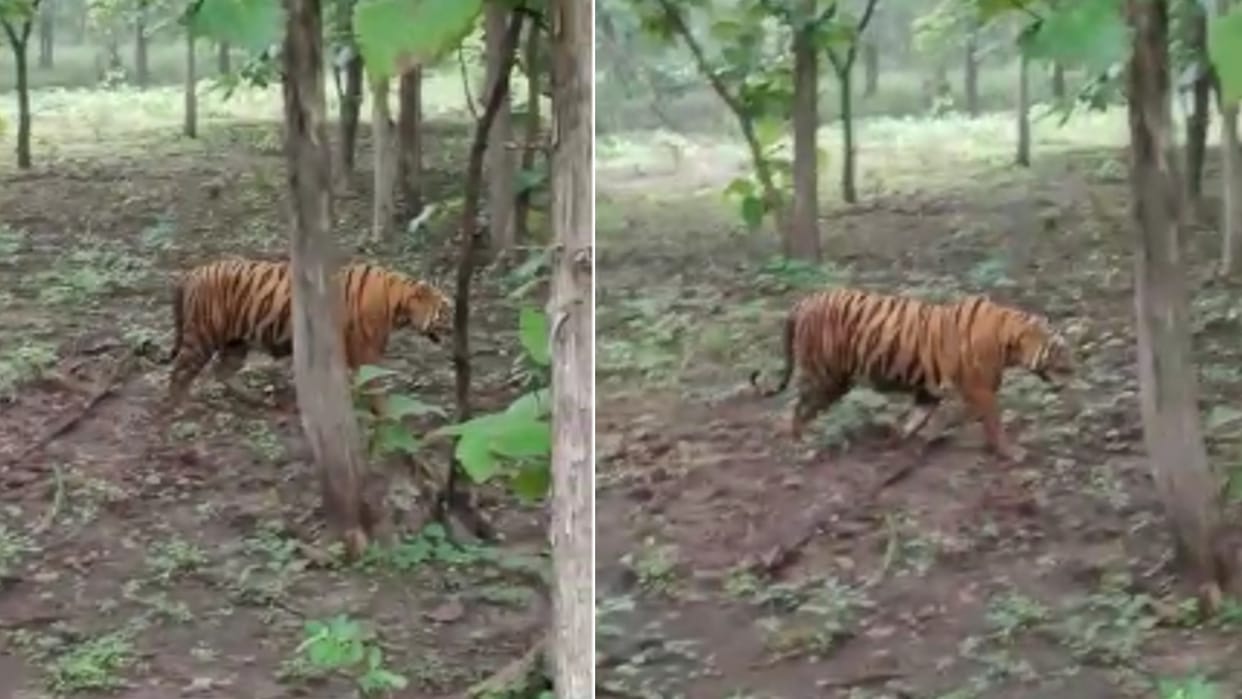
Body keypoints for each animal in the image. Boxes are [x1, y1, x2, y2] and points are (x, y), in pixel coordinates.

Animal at [163, 257, 452, 412]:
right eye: (445, 310)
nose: (454, 328)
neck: (397, 304)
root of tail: (193, 272)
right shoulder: (366, 351)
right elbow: (375, 384)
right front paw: (384, 410)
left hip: (236, 342)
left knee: (222, 371)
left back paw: (255, 400)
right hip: (202, 336)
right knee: (180, 372)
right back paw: (179, 406)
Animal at [749, 288, 1074, 462]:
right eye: (1059, 351)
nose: (1075, 370)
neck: (1010, 342)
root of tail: (804, 300)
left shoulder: (928, 391)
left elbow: (915, 420)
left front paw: (895, 441)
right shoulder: (980, 389)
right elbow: (993, 422)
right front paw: (1011, 452)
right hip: (828, 377)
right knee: (799, 408)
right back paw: (800, 442)